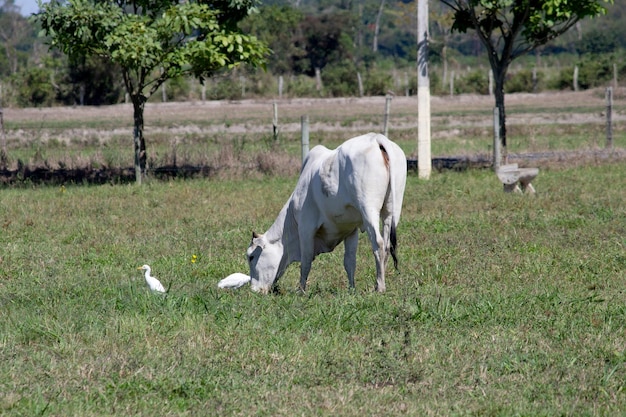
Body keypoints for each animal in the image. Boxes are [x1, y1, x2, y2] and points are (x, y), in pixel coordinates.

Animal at [246, 131, 408, 292]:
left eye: (251, 257)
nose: (254, 290)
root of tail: (376, 138)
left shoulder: (305, 228)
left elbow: (306, 261)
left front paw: (301, 290)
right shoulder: (351, 230)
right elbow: (349, 261)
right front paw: (351, 289)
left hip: (369, 209)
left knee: (379, 244)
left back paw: (380, 286)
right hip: (392, 210)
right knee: (387, 246)